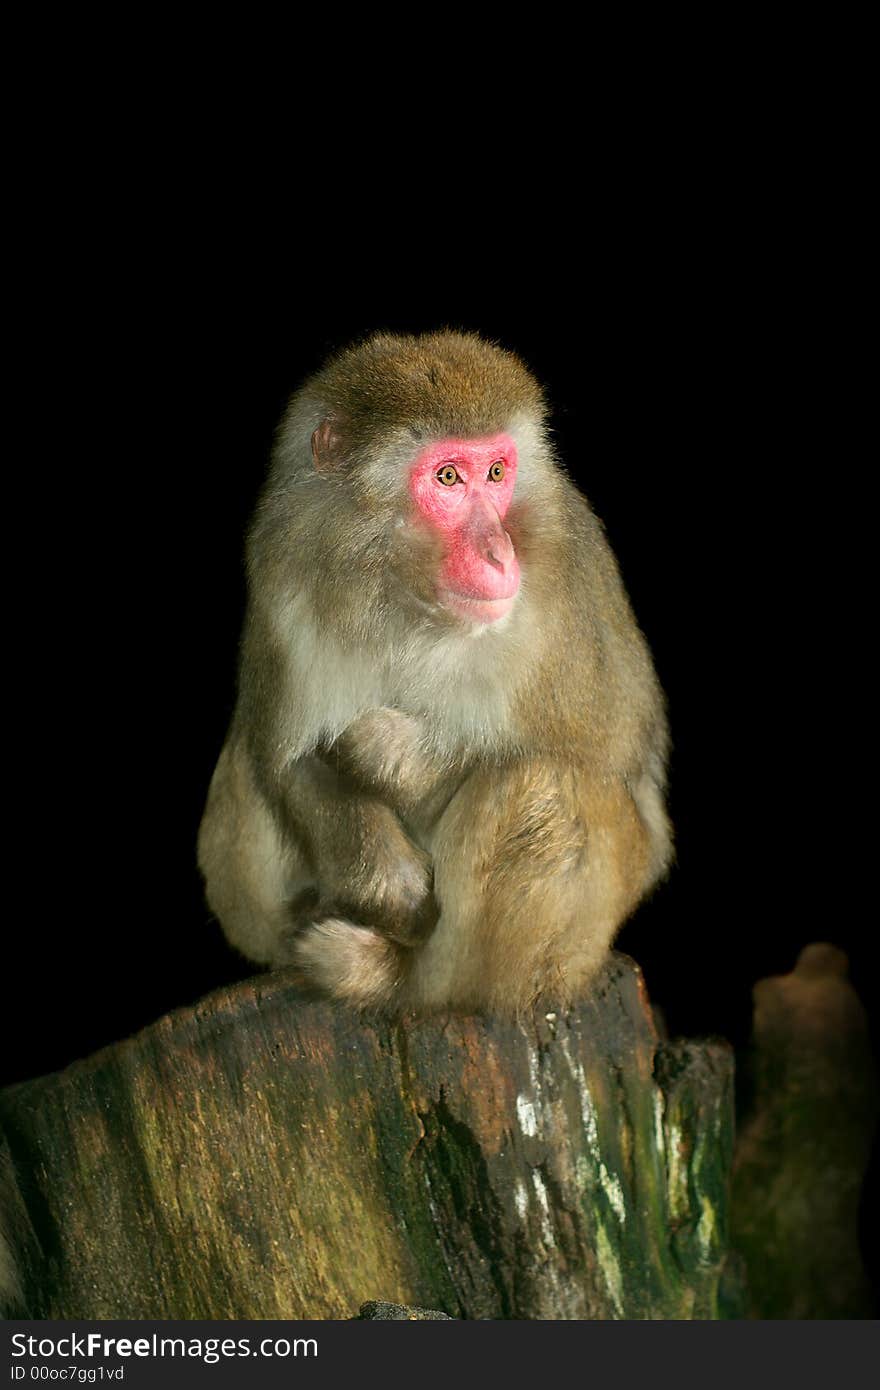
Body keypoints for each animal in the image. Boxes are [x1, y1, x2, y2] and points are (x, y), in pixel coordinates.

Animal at [196, 330, 670, 1017]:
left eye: (497, 473)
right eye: (448, 477)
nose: (499, 552)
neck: (403, 593)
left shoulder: (569, 572)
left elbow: (610, 746)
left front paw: (383, 750)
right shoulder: (284, 568)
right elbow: (282, 756)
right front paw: (392, 887)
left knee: (544, 785)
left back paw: (398, 982)